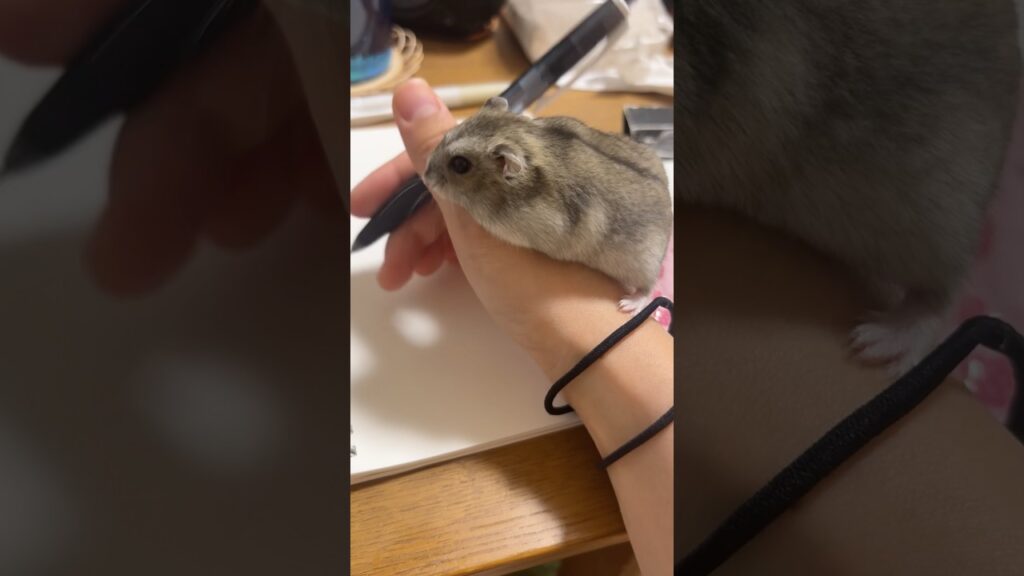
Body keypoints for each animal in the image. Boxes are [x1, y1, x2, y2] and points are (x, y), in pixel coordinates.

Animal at [423, 96, 673, 313]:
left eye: (460, 165)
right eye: (447, 134)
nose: (425, 177)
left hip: (642, 263)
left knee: (647, 288)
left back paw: (628, 305)